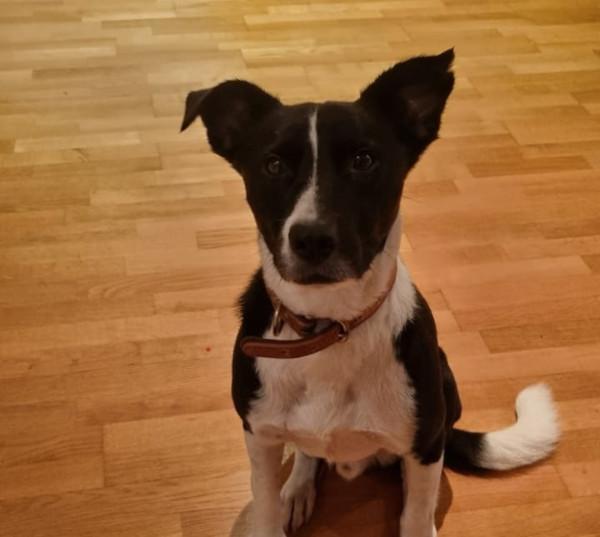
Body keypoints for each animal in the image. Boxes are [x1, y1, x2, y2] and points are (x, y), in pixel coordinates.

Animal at [181, 49, 560, 537]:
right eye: (273, 165)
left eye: (363, 160)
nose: (312, 239)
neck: (328, 326)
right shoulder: (258, 436)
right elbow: (264, 508)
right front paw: (282, 500)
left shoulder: (424, 442)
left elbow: (415, 513)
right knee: (306, 453)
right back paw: (297, 489)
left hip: (443, 388)